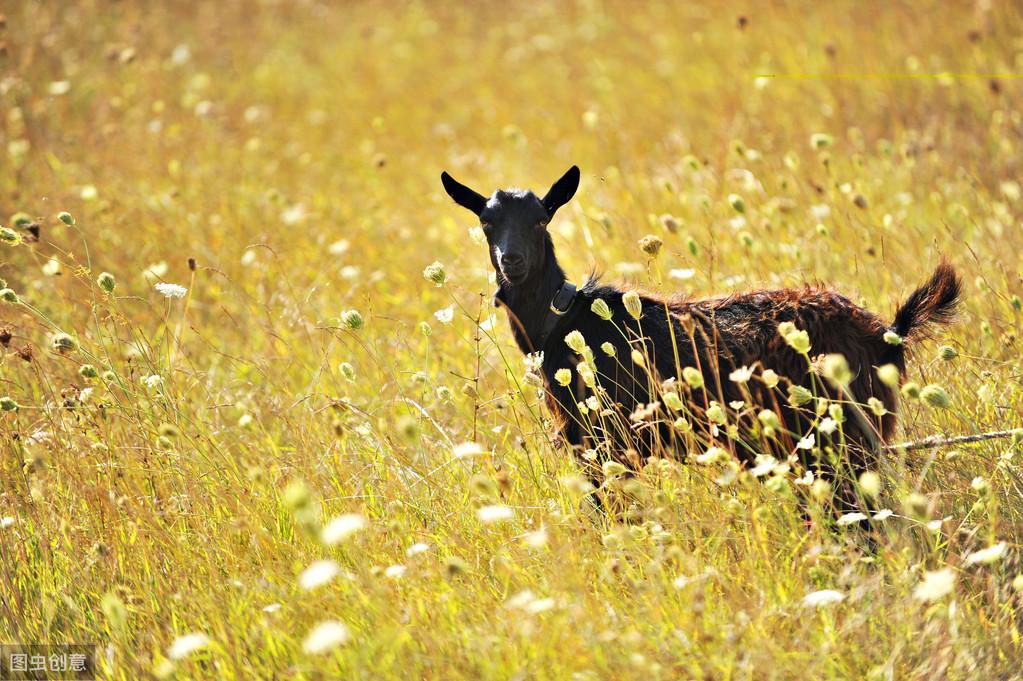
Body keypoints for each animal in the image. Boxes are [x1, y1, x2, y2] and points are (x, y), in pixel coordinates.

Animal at [439, 164, 957, 498]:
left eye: (541, 218)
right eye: (486, 223)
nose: (512, 261)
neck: (563, 323)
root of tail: (888, 333)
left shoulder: (605, 443)